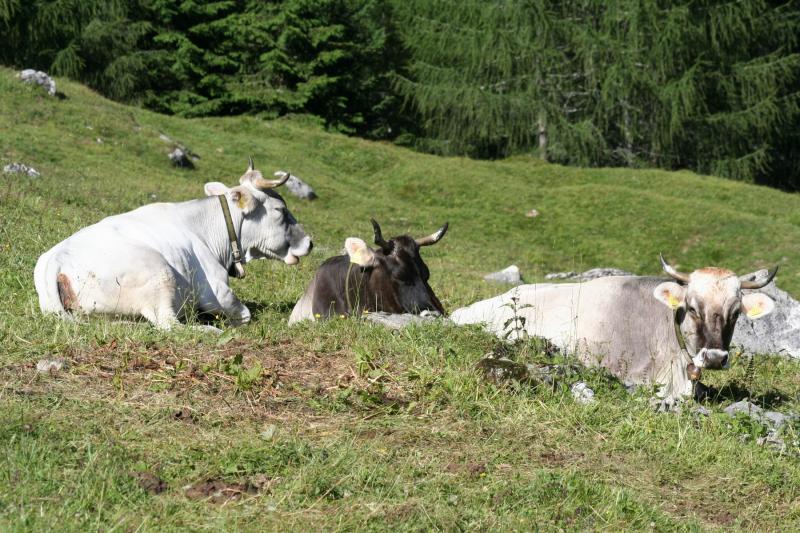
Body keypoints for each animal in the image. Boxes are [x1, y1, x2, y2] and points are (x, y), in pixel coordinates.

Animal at [34, 159, 310, 328]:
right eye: (280, 210)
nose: (309, 242)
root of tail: (56, 259)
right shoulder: (216, 291)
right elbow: (245, 315)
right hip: (159, 274)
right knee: (170, 325)